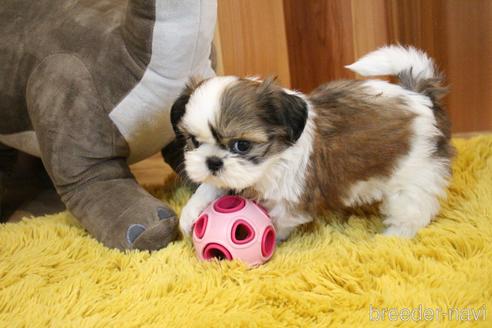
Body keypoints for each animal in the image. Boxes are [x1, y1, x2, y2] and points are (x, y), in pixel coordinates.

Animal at [170, 46, 454, 240]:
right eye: (194, 141)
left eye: (242, 145)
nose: (213, 161)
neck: (273, 161)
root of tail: (419, 95)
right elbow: (212, 186)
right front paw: (190, 213)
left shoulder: (290, 198)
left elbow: (276, 219)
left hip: (412, 173)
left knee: (413, 206)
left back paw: (395, 235)